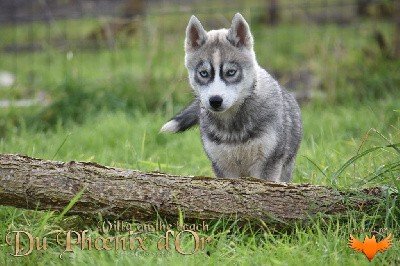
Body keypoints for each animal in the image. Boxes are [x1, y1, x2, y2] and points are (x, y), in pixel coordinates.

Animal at [161, 13, 302, 182]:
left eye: (231, 72)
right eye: (204, 73)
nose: (215, 101)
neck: (232, 125)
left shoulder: (267, 163)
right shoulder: (223, 166)